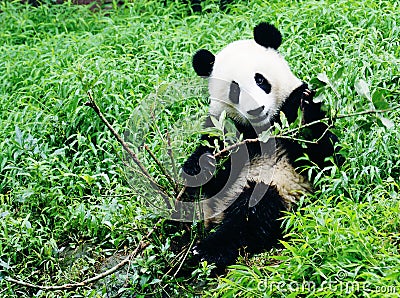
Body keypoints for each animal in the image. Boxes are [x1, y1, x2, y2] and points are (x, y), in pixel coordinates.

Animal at [178, 22, 340, 274]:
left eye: (260, 80)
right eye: (234, 90)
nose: (256, 110)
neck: (261, 130)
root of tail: (214, 215)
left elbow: (322, 159)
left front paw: (304, 108)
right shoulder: (225, 127)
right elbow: (208, 151)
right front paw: (198, 166)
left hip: (277, 188)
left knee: (251, 216)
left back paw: (205, 251)